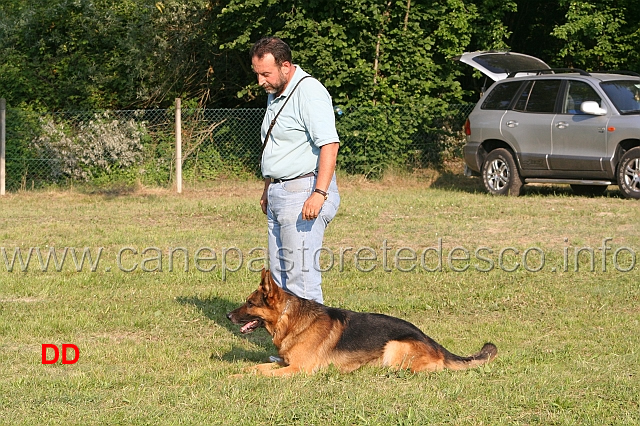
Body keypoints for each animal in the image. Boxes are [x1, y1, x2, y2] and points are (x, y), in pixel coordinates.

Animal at [228, 270, 498, 376]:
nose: (228, 316)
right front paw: (236, 373)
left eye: (249, 303)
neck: (290, 319)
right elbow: (256, 368)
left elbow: (262, 375)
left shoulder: (297, 370)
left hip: (394, 347)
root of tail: (433, 342)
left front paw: (235, 377)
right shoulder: (285, 364)